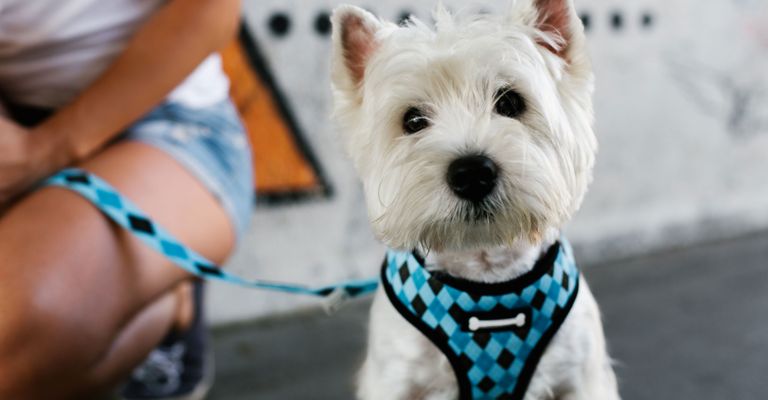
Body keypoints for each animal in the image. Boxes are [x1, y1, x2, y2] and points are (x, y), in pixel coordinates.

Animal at [330, 1, 616, 398]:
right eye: (413, 120)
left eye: (510, 101)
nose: (471, 174)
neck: (486, 271)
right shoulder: (394, 381)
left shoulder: (581, 377)